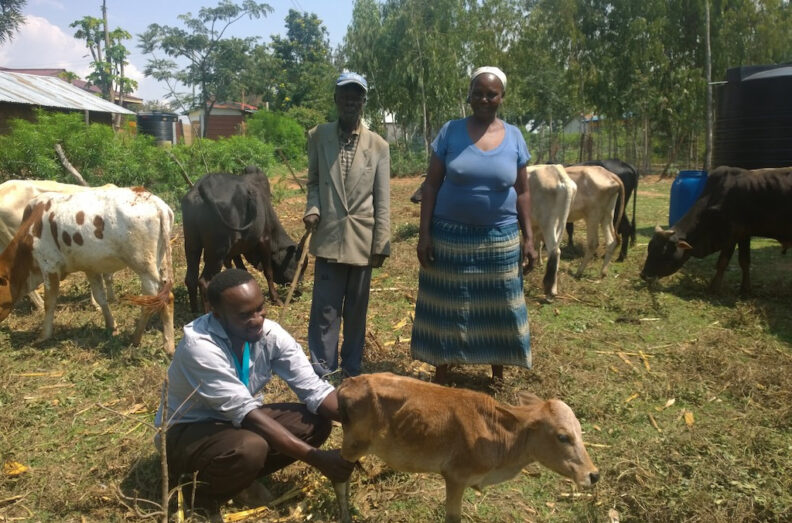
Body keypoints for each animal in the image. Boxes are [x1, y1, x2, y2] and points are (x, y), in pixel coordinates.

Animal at [181, 170, 302, 313]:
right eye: (297, 265)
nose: (299, 291)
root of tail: (200, 188)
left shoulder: (234, 250)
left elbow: (240, 270)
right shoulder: (264, 240)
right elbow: (269, 272)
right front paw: (276, 299)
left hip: (192, 244)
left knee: (191, 278)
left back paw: (195, 312)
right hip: (217, 251)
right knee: (204, 281)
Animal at [334, 373, 599, 523]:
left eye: (580, 431)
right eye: (563, 437)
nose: (593, 475)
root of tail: (348, 383)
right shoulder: (455, 477)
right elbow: (453, 517)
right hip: (353, 444)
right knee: (339, 478)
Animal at [526, 164, 577, 300]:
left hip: (548, 222)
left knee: (553, 250)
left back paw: (549, 289)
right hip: (561, 221)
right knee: (557, 251)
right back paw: (553, 288)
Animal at [640, 166, 792, 294]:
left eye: (663, 252)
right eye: (649, 248)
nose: (643, 275)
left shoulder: (732, 235)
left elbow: (723, 262)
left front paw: (714, 288)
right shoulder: (744, 235)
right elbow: (744, 261)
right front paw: (745, 289)